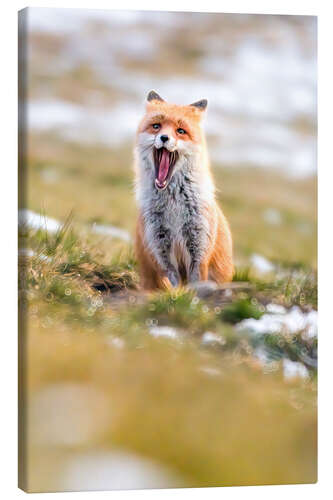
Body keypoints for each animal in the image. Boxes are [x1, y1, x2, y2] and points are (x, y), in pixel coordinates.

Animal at [134, 92, 232, 292]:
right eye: (156, 126)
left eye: (180, 131)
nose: (164, 137)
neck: (173, 206)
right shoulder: (159, 246)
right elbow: (174, 283)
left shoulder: (199, 246)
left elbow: (197, 283)